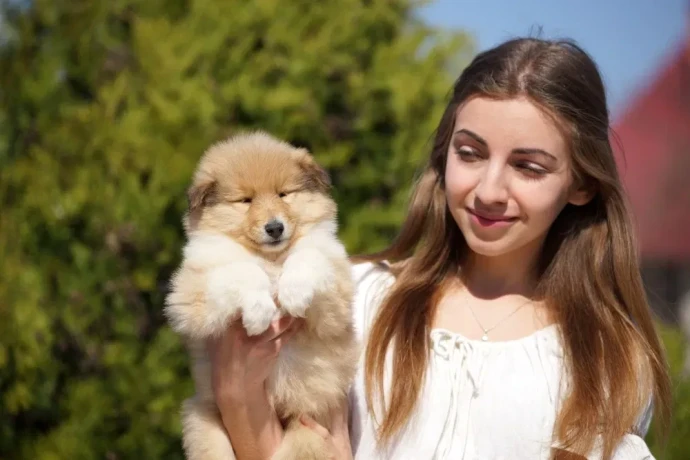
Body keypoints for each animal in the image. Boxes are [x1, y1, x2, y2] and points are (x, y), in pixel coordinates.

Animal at [165, 130, 358, 460]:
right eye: (245, 200)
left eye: (283, 194)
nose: (275, 227)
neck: (271, 258)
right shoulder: (191, 292)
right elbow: (241, 269)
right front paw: (259, 312)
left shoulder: (337, 298)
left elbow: (308, 256)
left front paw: (292, 293)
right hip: (202, 417)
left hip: (309, 430)